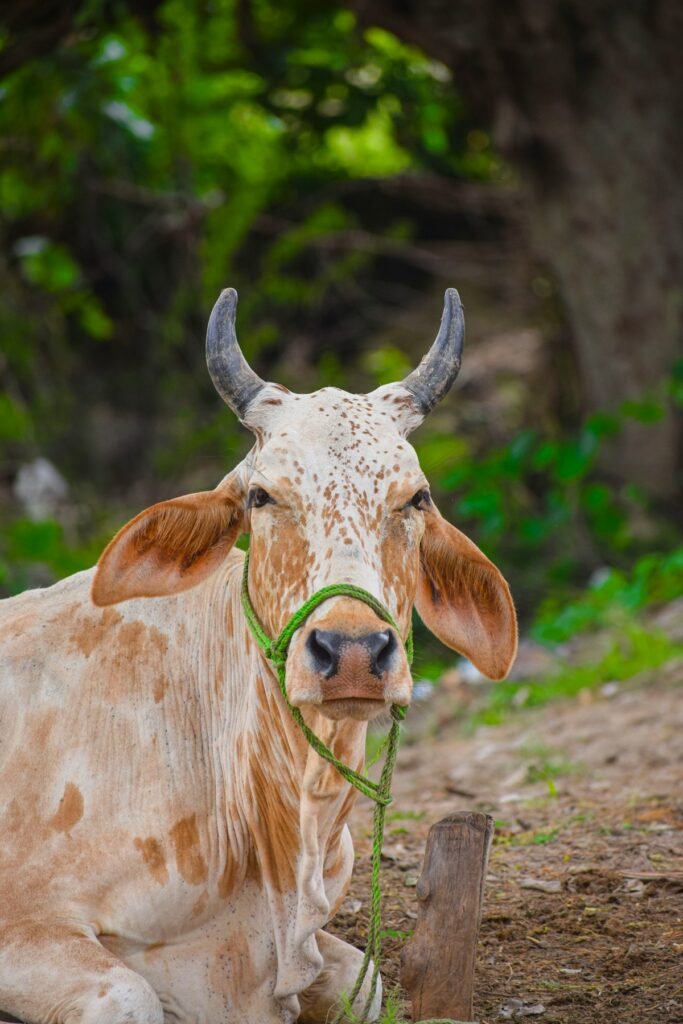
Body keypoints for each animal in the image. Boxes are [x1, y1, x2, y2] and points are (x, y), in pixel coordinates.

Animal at [0, 288, 517, 1024]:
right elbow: (128, 996)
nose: (352, 651)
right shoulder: (30, 923)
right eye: (261, 495)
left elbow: (366, 984)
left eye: (414, 498)